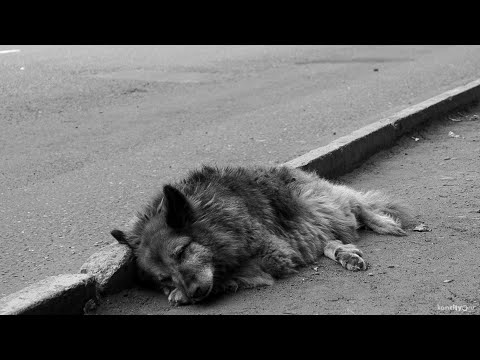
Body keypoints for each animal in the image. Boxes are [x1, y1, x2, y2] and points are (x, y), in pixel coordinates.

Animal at [110, 165, 410, 306]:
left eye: (181, 252)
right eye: (163, 277)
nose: (193, 294)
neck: (215, 218)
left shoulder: (274, 254)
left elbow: (228, 274)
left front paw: (181, 294)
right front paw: (175, 292)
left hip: (323, 204)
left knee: (357, 205)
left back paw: (382, 222)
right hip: (307, 229)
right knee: (327, 240)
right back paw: (344, 253)